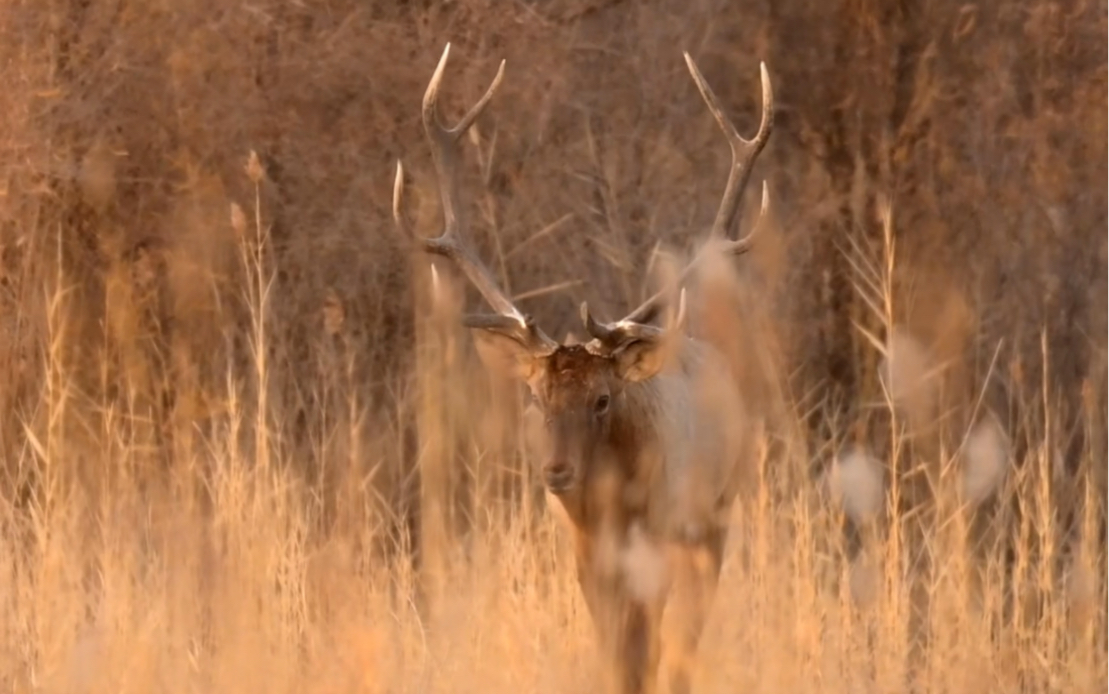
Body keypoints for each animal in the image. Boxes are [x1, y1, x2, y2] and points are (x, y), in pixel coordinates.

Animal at [394, 41, 776, 691]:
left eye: (602, 398)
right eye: (535, 397)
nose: (555, 470)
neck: (612, 515)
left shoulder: (662, 544)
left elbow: (647, 654)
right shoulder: (586, 561)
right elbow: (615, 656)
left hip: (716, 516)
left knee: (686, 641)